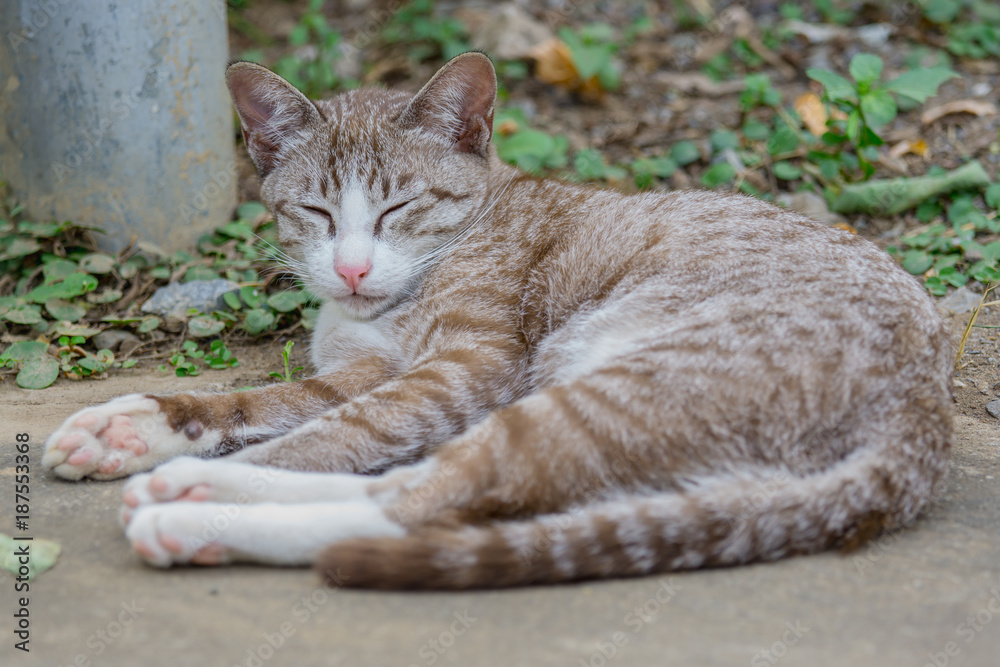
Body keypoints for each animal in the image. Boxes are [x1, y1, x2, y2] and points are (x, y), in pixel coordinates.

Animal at [43, 54, 952, 592]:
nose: (352, 268)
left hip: (598, 389)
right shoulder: (366, 367)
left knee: (419, 498)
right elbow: (272, 405)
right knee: (451, 492)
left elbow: (329, 431)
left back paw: (190, 509)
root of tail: (922, 421)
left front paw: (189, 464)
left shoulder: (467, 368)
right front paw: (133, 425)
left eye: (400, 207)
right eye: (314, 212)